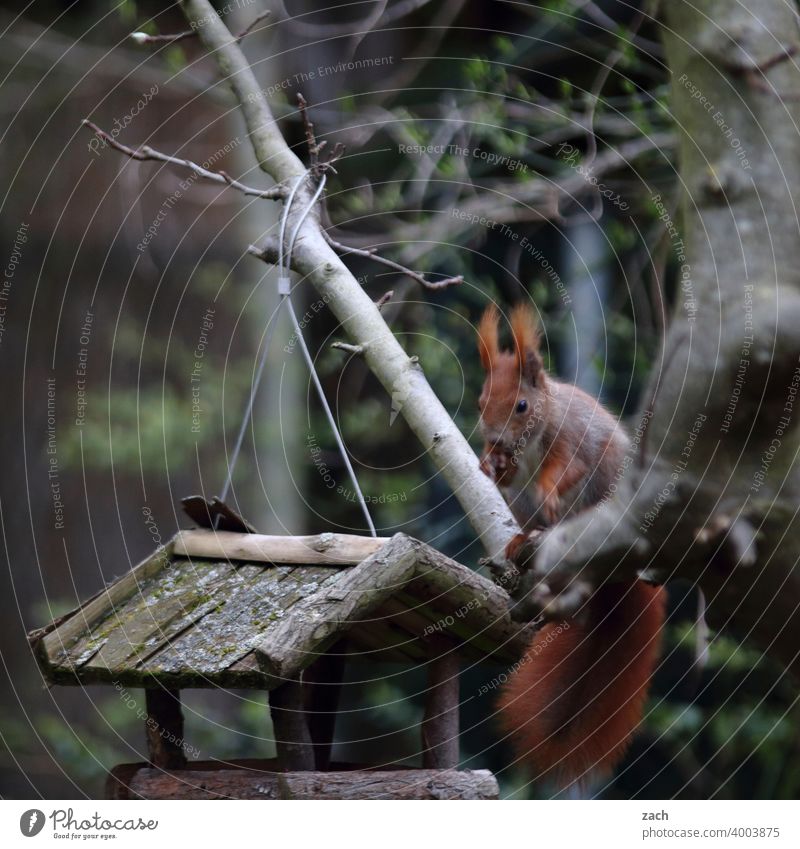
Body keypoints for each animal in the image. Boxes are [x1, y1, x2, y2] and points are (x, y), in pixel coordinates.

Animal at [478, 302, 664, 784]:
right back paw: (523, 539)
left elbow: (567, 468)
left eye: (522, 405)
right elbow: (505, 474)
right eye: (481, 401)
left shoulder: (573, 437)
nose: (494, 440)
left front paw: (549, 485)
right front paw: (489, 466)